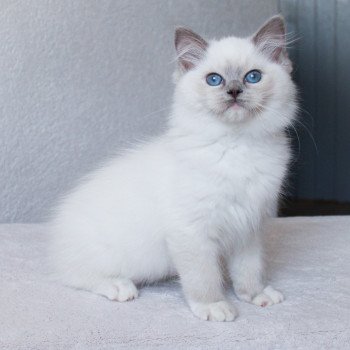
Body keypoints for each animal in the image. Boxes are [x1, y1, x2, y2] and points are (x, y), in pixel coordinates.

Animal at [47, 16, 296, 322]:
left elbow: (249, 270)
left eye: (253, 77)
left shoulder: (248, 228)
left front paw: (255, 296)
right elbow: (203, 278)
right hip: (106, 255)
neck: (237, 145)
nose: (234, 91)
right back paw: (119, 286)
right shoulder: (191, 231)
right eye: (214, 80)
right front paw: (214, 306)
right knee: (74, 276)